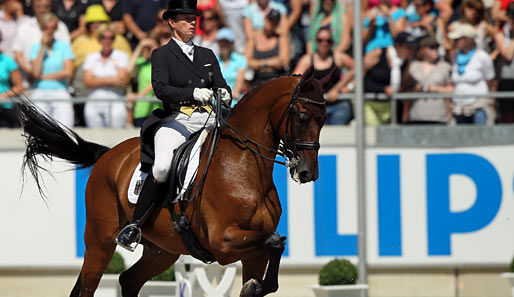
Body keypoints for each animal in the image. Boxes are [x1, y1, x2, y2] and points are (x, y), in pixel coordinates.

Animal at [16, 67, 334, 296]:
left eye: (324, 118)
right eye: (302, 116)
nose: (308, 173)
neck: (244, 169)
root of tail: (108, 155)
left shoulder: (253, 254)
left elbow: (274, 248)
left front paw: (254, 287)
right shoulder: (223, 242)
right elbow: (275, 241)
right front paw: (255, 286)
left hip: (162, 251)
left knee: (128, 280)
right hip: (100, 241)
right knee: (88, 286)